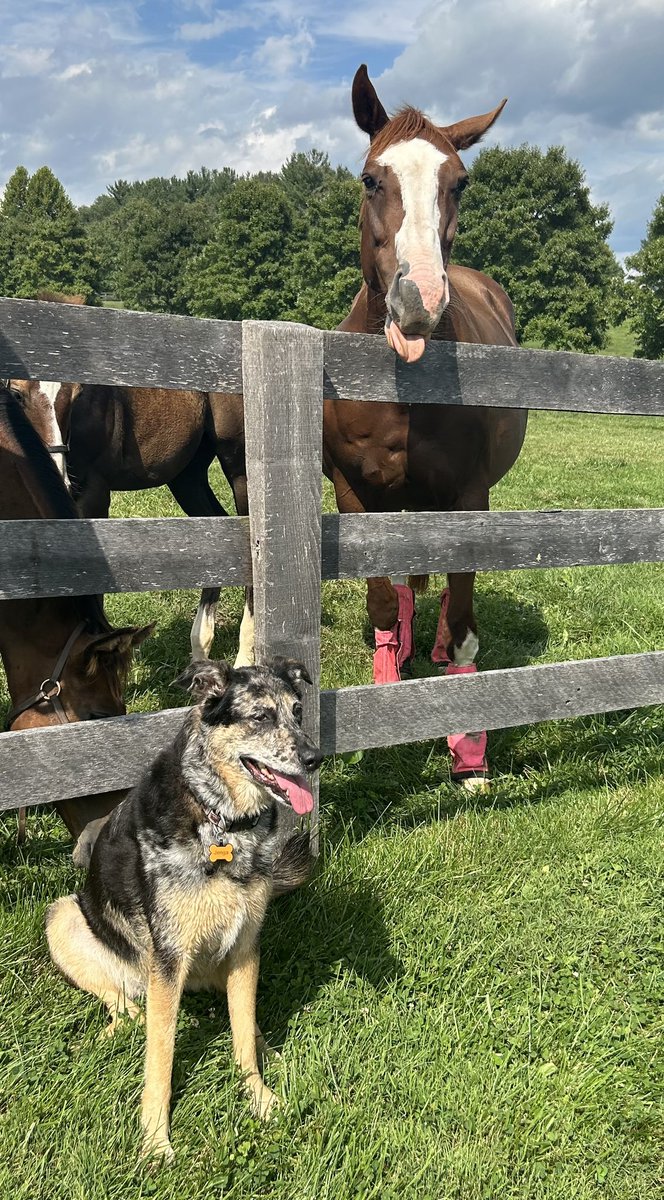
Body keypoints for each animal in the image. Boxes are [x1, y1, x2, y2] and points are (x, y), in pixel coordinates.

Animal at [45, 662, 321, 1156]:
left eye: (297, 711)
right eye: (260, 717)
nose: (315, 759)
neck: (222, 822)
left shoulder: (246, 948)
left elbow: (242, 1038)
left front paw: (260, 1098)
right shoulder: (168, 959)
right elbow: (161, 1058)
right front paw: (155, 1140)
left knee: (243, 1021)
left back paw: (268, 1047)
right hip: (65, 919)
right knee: (123, 1004)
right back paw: (123, 1027)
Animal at [319, 63, 525, 787]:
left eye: (458, 182)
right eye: (370, 179)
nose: (420, 303)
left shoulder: (468, 498)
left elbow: (462, 619)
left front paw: (469, 753)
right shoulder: (353, 493)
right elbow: (383, 600)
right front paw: (387, 690)